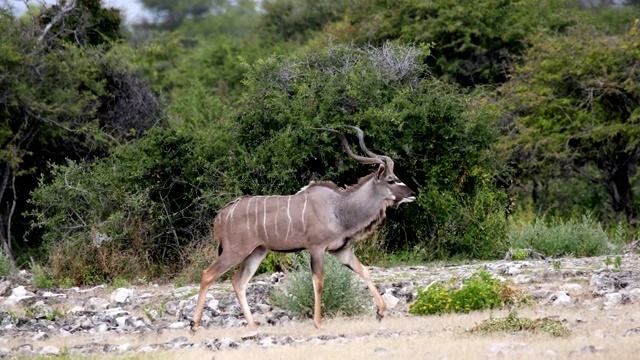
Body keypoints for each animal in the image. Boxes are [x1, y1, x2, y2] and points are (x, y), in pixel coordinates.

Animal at [190, 126, 416, 332]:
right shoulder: (317, 248)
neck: (338, 208)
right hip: (235, 251)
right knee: (208, 274)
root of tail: (221, 215)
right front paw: (318, 323)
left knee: (239, 282)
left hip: (257, 252)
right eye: (391, 180)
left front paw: (381, 312)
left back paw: (253, 325)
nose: (412, 194)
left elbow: (363, 270)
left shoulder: (340, 249)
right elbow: (318, 282)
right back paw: (194, 325)